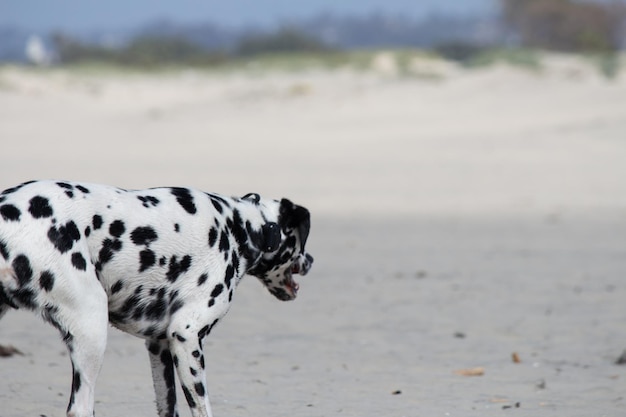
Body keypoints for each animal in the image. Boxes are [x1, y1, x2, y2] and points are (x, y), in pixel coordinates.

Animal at [0, 180, 312, 416]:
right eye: (301, 242)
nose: (311, 260)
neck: (242, 227)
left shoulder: (160, 347)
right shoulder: (186, 337)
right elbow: (202, 408)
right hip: (91, 328)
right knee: (80, 409)